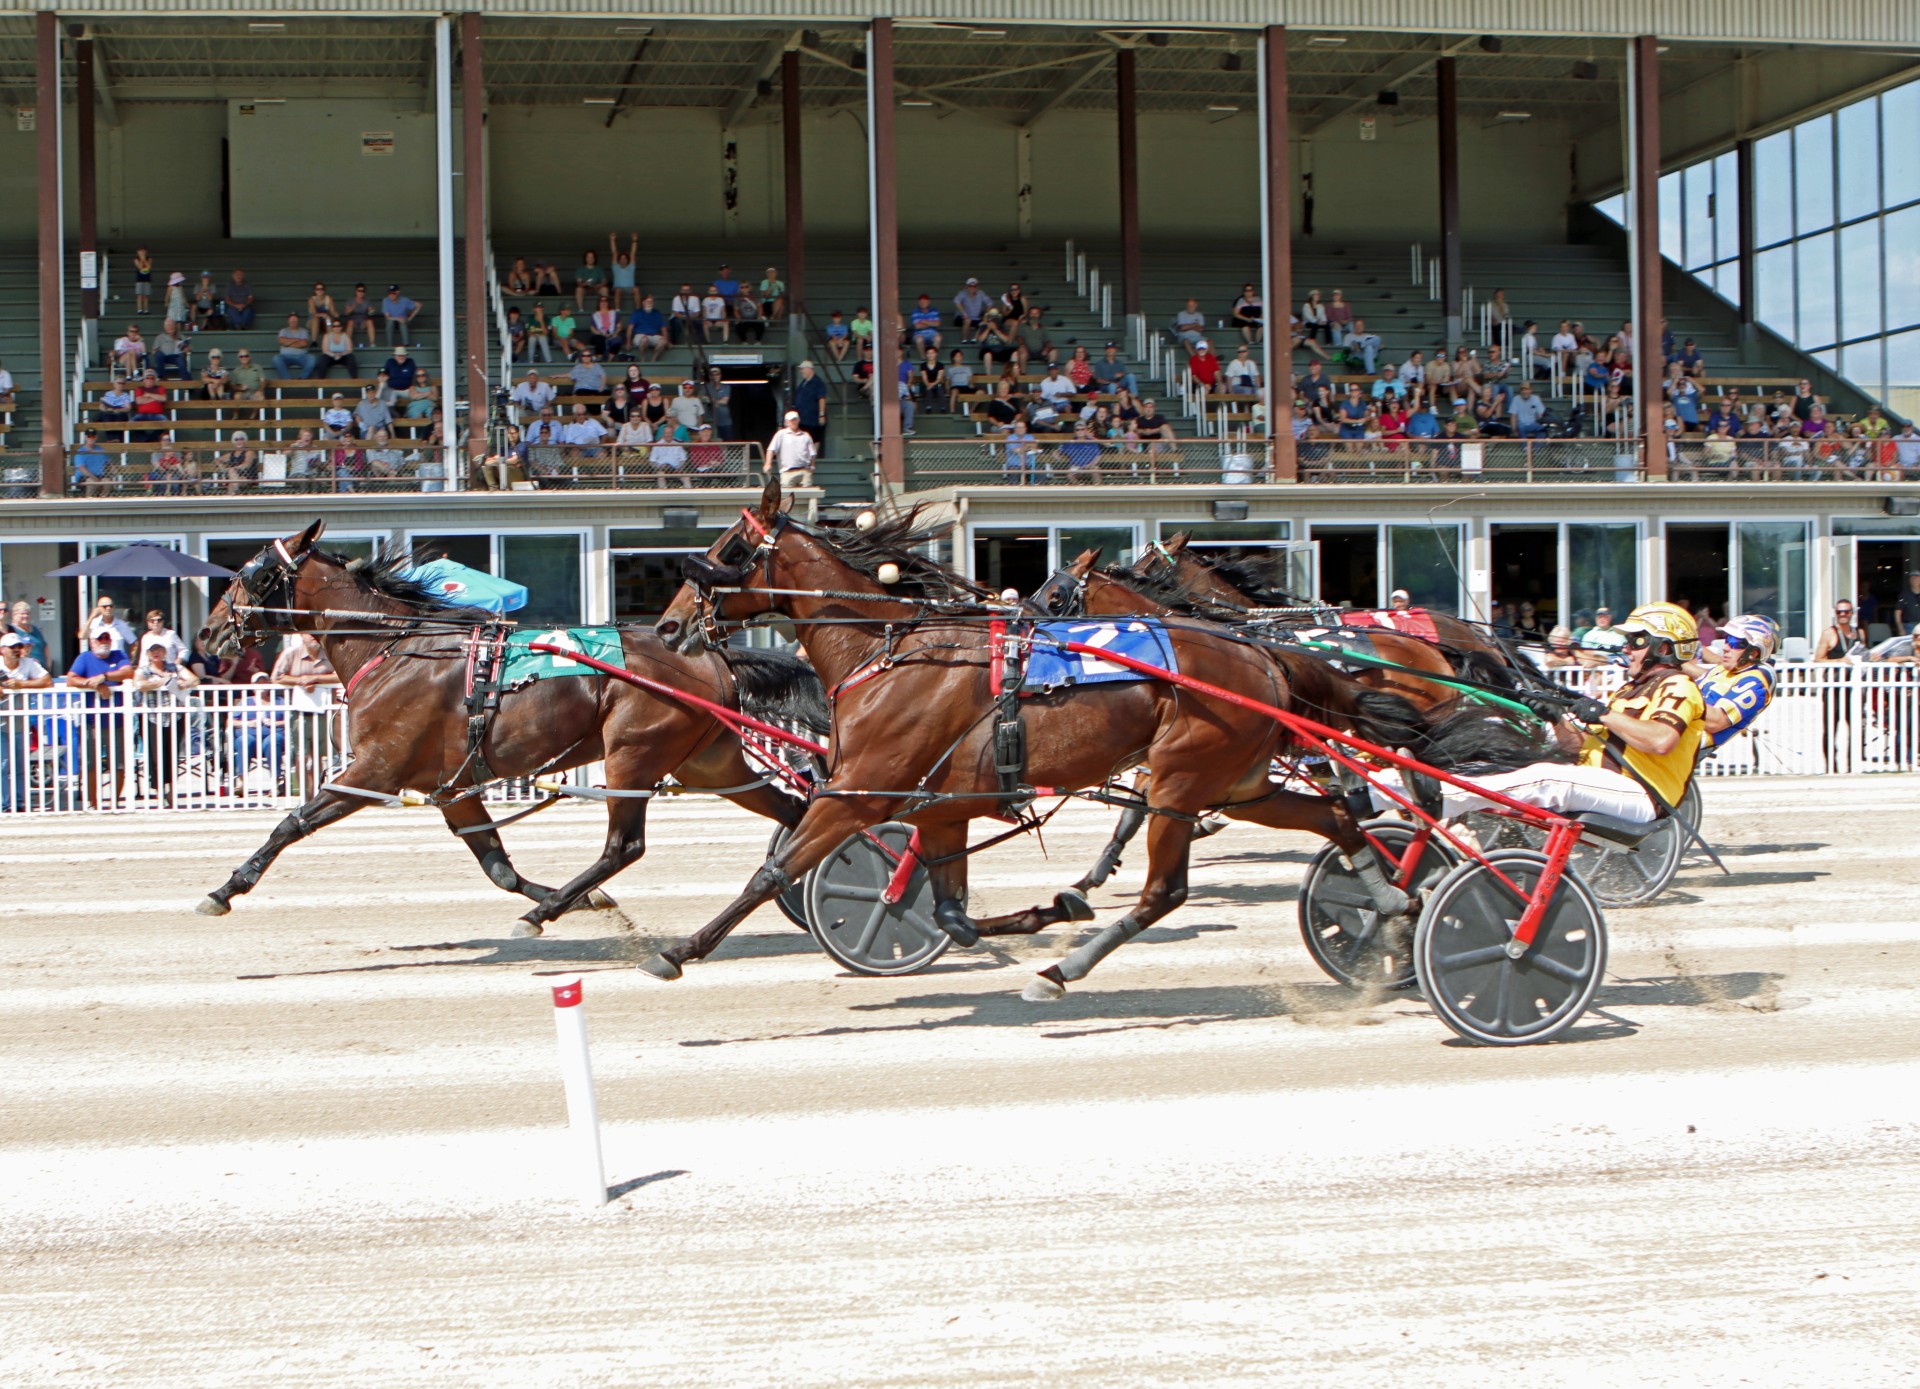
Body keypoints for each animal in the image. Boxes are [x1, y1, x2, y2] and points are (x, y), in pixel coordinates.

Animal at [202, 526, 825, 941]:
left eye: (252, 573)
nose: (209, 634)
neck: (397, 648)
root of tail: (712, 656)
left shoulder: (375, 769)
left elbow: (291, 823)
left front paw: (225, 889)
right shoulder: (452, 788)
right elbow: (496, 864)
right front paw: (579, 902)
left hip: (633, 754)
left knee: (624, 846)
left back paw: (545, 912)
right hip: (708, 762)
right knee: (794, 812)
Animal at [652, 478, 1536, 999]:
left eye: (730, 549)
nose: (665, 626)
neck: (893, 650)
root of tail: (1263, 653)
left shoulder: (861, 788)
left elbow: (774, 869)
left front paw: (679, 947)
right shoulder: (937, 801)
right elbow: (950, 912)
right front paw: (1045, 905)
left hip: (1185, 775)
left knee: (1166, 890)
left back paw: (1063, 969)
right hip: (1240, 779)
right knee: (1336, 817)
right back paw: (1389, 900)